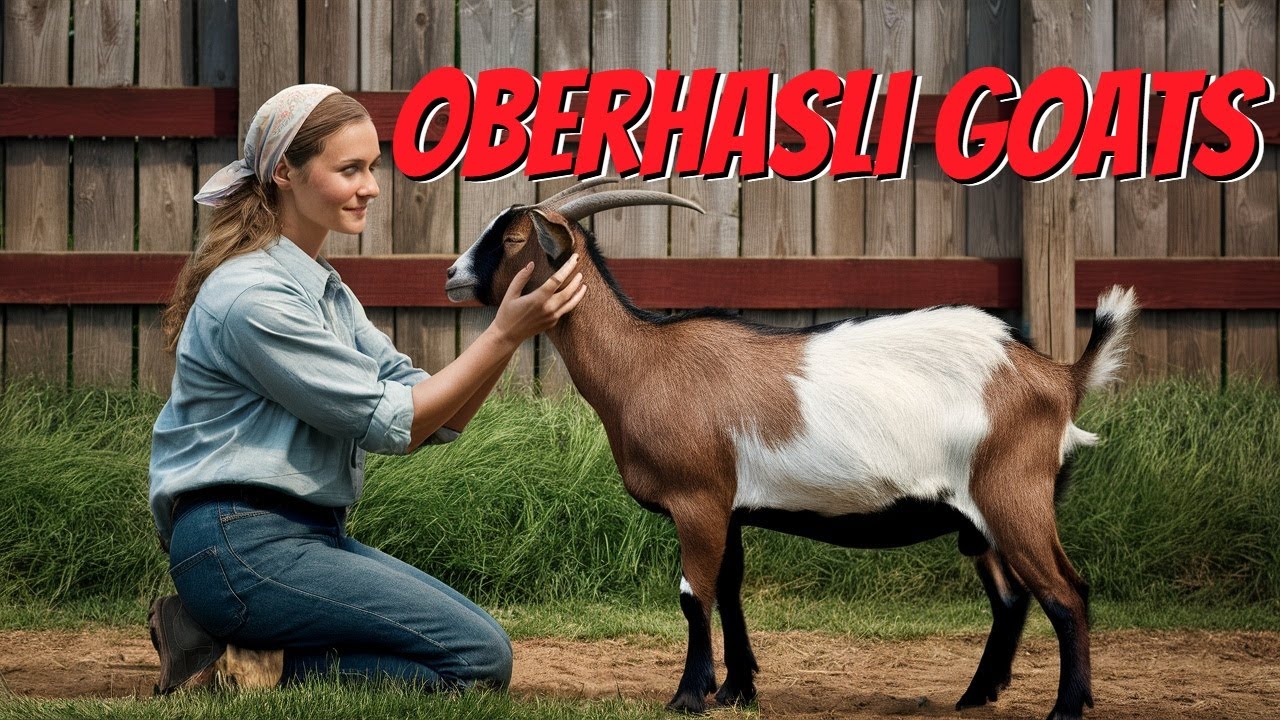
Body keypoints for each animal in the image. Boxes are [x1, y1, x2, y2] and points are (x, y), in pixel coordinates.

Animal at [445, 178, 1138, 720]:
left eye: (513, 239)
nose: (451, 274)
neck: (646, 361)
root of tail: (1058, 376)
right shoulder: (728, 507)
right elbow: (729, 590)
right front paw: (737, 690)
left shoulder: (698, 499)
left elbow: (693, 595)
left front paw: (688, 696)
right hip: (974, 515)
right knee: (1011, 596)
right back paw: (975, 696)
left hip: (1014, 495)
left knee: (1066, 593)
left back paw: (1067, 706)